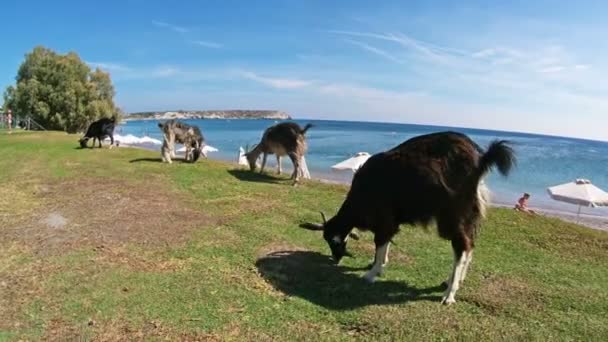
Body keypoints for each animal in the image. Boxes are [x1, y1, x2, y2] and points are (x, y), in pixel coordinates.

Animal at [302, 132, 516, 304]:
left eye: (334, 241)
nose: (336, 259)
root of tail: (480, 160)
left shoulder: (384, 217)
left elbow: (380, 242)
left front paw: (371, 273)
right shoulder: (392, 221)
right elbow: (386, 241)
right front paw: (378, 265)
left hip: (454, 215)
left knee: (462, 246)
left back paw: (449, 295)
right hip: (471, 215)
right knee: (470, 246)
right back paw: (451, 282)